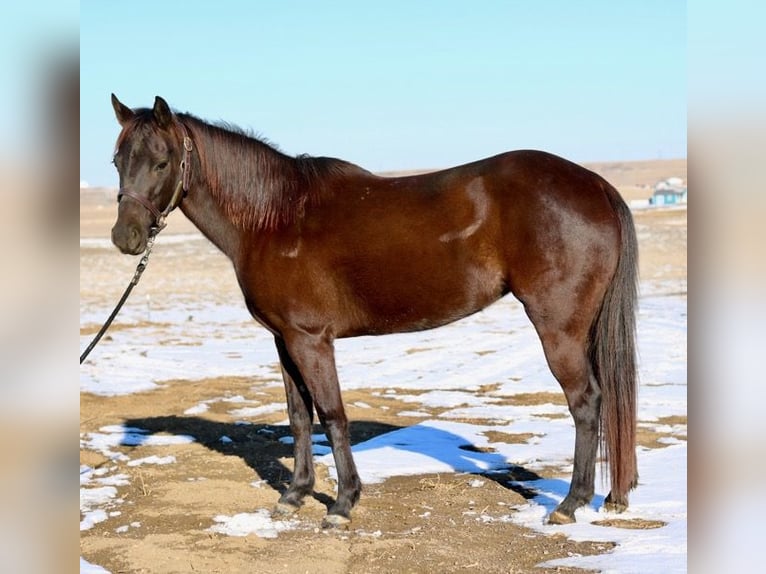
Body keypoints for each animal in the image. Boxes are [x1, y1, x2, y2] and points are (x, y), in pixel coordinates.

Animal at [108, 95, 640, 532]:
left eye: (162, 161)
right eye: (117, 160)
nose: (125, 238)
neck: (275, 218)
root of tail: (595, 184)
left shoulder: (311, 339)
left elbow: (332, 415)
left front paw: (342, 504)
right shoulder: (284, 339)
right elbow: (299, 417)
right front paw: (295, 495)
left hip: (559, 328)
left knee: (586, 402)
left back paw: (570, 504)